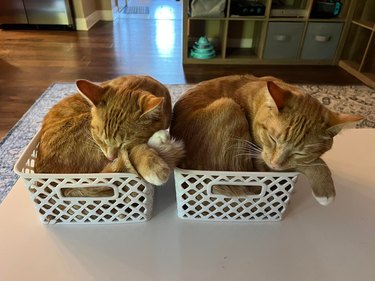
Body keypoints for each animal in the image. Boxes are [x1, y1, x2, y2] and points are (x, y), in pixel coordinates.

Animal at [171, 75, 364, 206]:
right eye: (272, 138)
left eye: (300, 152)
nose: (276, 163)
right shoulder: (258, 161)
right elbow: (315, 163)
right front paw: (325, 188)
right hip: (228, 106)